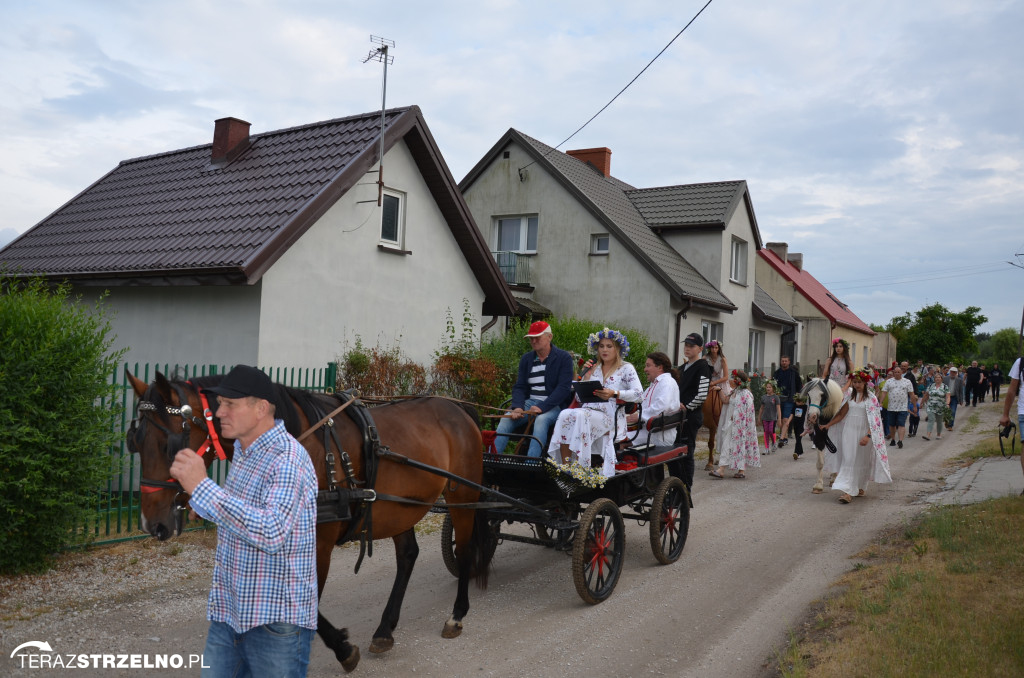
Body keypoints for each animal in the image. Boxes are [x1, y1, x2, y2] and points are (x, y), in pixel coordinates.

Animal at [125, 372, 493, 675]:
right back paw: (385, 630)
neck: (304, 440)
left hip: (463, 496)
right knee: (407, 556)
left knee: (465, 550)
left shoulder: (319, 543)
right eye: (136, 441)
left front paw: (342, 649)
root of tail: (458, 409)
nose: (151, 524)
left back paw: (457, 615)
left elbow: (308, 605)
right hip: (402, 508)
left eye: (168, 444)